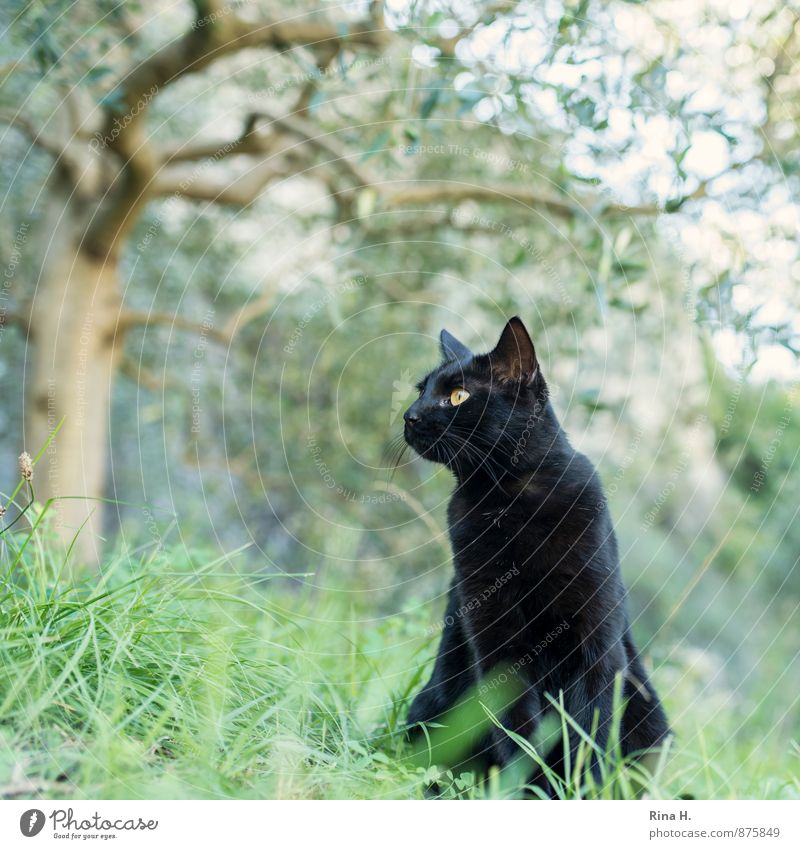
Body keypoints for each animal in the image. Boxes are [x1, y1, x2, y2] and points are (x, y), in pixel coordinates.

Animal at [404, 314, 672, 784]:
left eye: (458, 396)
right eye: (422, 390)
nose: (409, 415)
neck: (509, 497)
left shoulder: (595, 641)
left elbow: (588, 733)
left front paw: (581, 789)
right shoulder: (496, 639)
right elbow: (518, 732)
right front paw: (527, 789)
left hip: (650, 714)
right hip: (428, 709)